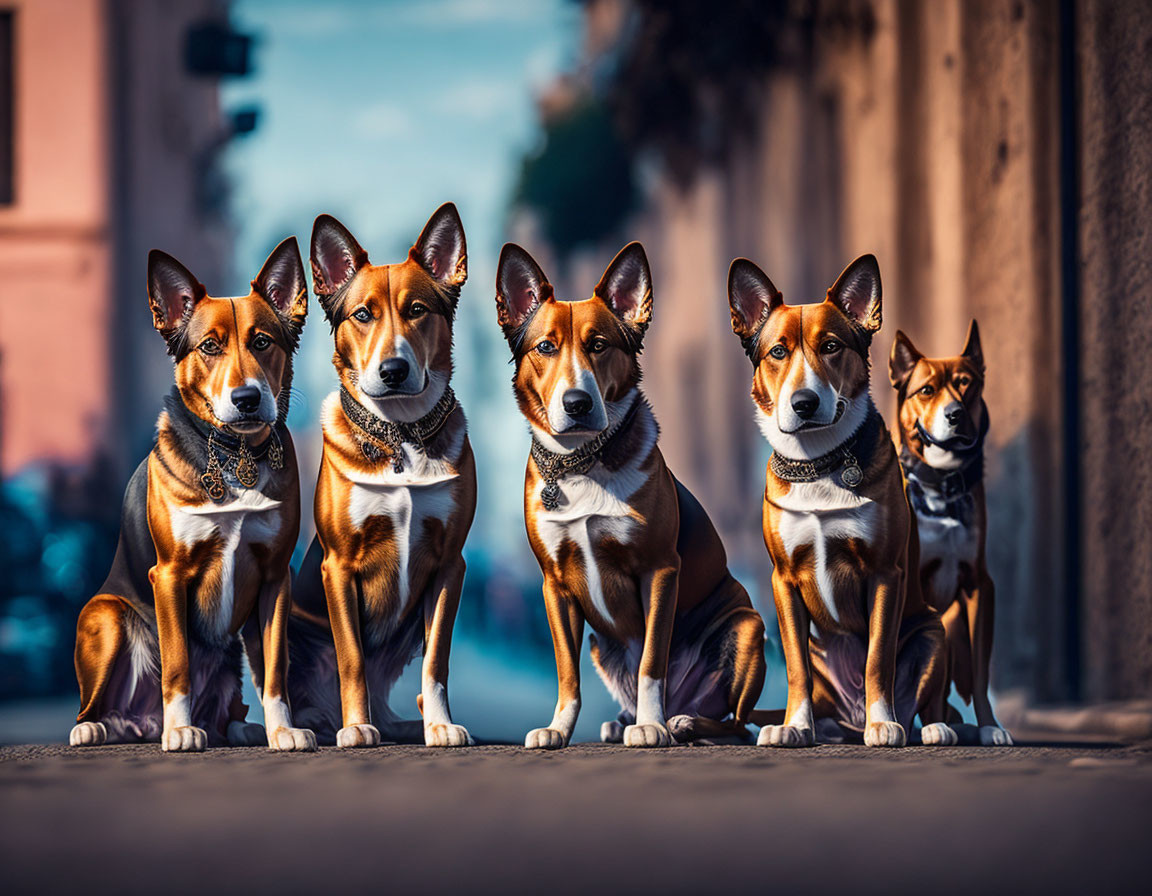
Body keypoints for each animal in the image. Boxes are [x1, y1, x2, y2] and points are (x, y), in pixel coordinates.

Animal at [72, 237, 315, 746]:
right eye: (209, 346)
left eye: (263, 341)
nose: (247, 399)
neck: (235, 453)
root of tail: (140, 721)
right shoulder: (169, 575)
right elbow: (178, 661)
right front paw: (181, 730)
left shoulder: (275, 577)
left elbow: (276, 668)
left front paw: (284, 730)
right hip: (105, 615)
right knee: (98, 704)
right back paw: (99, 728)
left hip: (233, 649)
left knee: (236, 701)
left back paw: (240, 728)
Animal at [288, 202, 476, 746]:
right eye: (362, 315)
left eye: (417, 310)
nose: (393, 370)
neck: (401, 436)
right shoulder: (338, 566)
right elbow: (351, 658)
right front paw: (356, 728)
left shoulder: (449, 565)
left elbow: (436, 662)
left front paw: (441, 725)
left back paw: (405, 724)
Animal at [495, 239, 764, 746]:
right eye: (546, 347)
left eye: (599, 345)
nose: (577, 404)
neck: (582, 463)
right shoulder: (555, 584)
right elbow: (567, 672)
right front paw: (558, 729)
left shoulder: (659, 570)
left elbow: (652, 661)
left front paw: (651, 724)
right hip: (603, 647)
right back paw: (623, 722)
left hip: (745, 628)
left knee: (736, 724)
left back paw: (678, 722)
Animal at [728, 253, 953, 746]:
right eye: (778, 352)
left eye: (831, 346)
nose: (805, 403)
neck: (819, 461)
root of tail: (846, 721)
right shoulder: (784, 581)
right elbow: (796, 667)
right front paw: (795, 726)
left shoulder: (885, 574)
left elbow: (877, 658)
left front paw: (882, 722)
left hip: (931, 632)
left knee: (928, 699)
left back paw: (936, 727)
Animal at [884, 324, 1013, 741]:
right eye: (926, 390)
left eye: (965, 384)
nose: (954, 414)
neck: (942, 482)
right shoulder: (916, 585)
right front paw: (933, 724)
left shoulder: (978, 586)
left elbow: (980, 669)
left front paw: (990, 727)